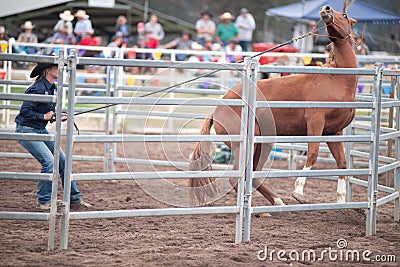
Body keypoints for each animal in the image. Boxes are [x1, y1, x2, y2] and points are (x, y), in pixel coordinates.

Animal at [189, 3, 358, 206]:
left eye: (345, 15)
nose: (326, 9)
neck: (336, 79)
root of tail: (217, 110)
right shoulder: (315, 124)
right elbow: (312, 154)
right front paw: (298, 191)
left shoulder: (333, 131)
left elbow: (342, 163)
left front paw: (341, 198)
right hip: (246, 145)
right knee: (237, 176)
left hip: (262, 145)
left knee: (252, 174)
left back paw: (277, 201)